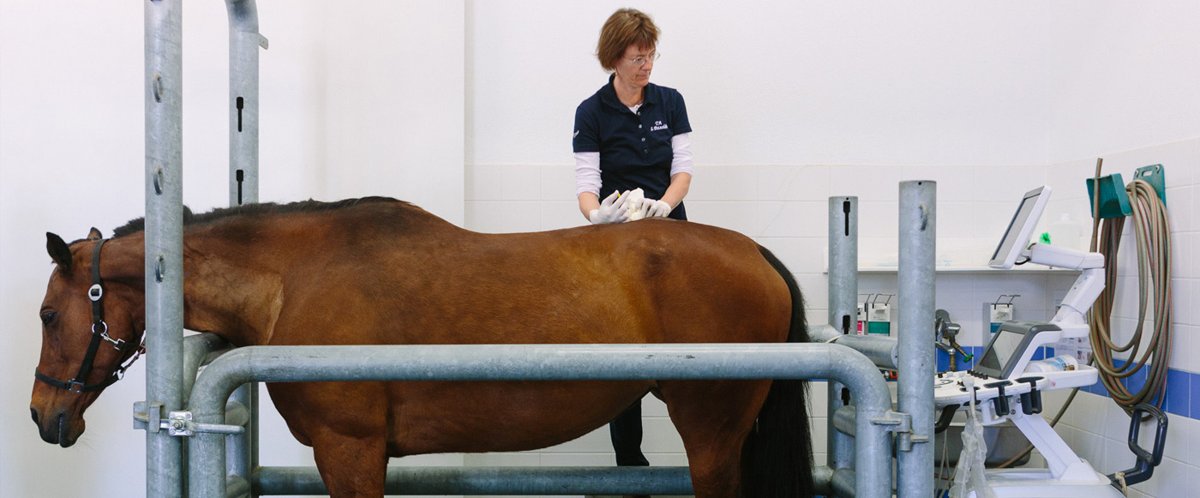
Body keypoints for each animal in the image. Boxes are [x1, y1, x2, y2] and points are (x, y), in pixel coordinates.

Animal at [30, 198, 816, 498]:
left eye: (45, 314)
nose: (44, 417)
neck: (292, 280)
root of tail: (754, 253)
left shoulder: (348, 449)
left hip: (711, 434)